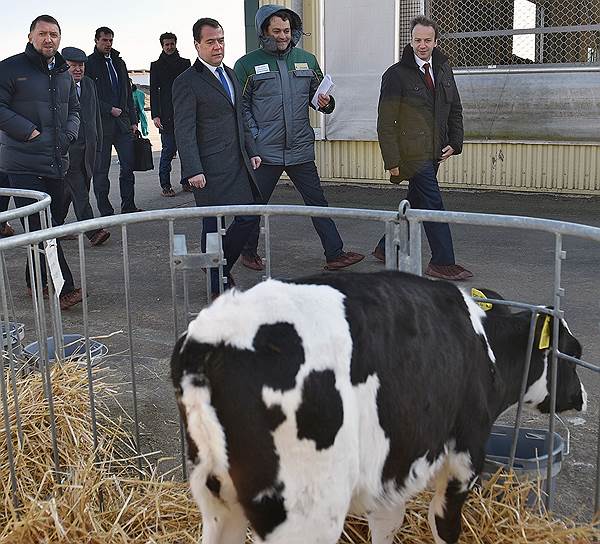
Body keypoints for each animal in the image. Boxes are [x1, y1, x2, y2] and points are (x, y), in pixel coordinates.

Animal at [170, 270, 584, 544]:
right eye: (574, 353)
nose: (581, 397)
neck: (486, 348)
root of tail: (210, 340)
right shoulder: (465, 456)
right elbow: (443, 524)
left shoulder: (391, 468)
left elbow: (387, 523)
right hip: (306, 511)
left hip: (215, 497)